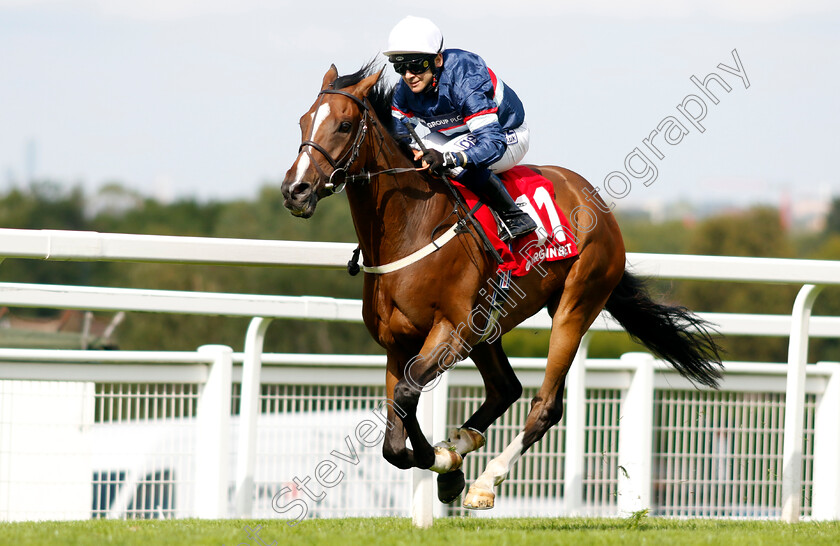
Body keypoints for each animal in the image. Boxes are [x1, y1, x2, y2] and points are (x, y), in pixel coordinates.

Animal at [280, 63, 720, 510]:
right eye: (303, 121)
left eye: (345, 124)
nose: (295, 190)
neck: (412, 227)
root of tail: (597, 202)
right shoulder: (397, 341)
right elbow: (396, 430)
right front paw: (447, 461)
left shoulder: (450, 331)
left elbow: (406, 395)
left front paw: (445, 462)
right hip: (488, 327)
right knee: (505, 387)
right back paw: (462, 443)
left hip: (575, 305)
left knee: (545, 405)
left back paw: (486, 480)